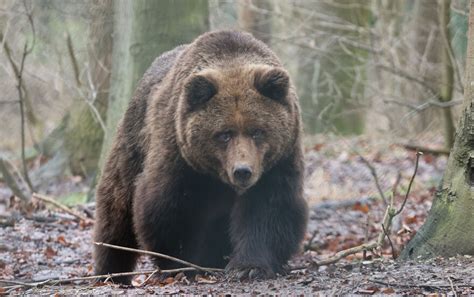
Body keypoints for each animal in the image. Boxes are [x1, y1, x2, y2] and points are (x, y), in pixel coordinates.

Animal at [93, 30, 308, 282]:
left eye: (257, 131)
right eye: (224, 134)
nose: (242, 171)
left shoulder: (277, 163)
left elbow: (268, 209)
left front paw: (249, 267)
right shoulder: (179, 156)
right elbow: (168, 209)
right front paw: (182, 264)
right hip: (133, 140)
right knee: (116, 210)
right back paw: (110, 272)